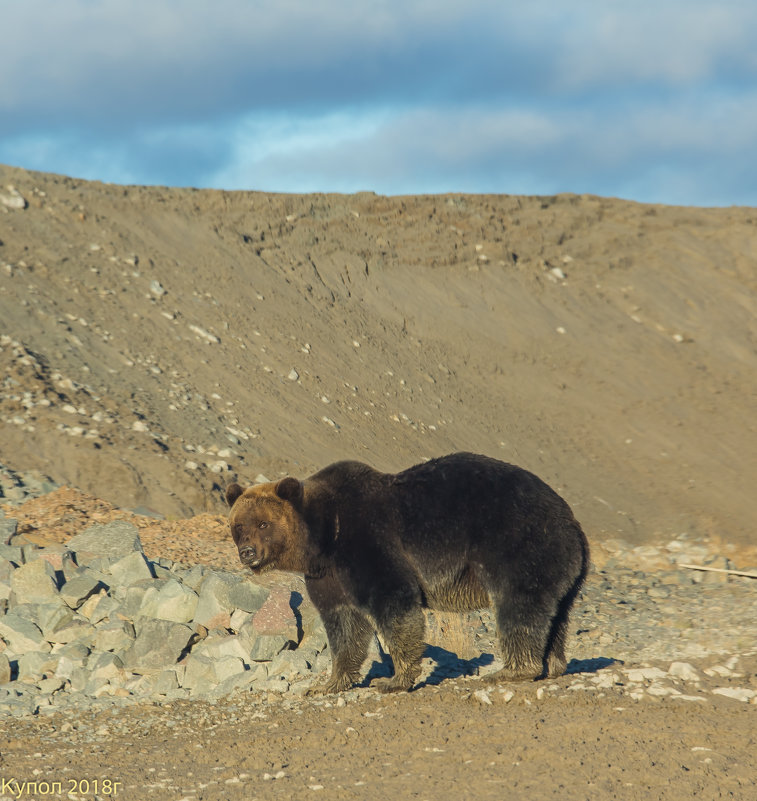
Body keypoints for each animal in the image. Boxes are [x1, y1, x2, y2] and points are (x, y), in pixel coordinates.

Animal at [224, 450, 592, 692]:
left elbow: (395, 605)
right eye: (239, 526)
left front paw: (394, 679)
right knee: (555, 617)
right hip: (561, 570)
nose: (247, 553)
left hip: (519, 545)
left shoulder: (369, 543)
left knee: (519, 607)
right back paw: (551, 665)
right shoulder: (327, 577)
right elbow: (344, 625)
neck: (325, 537)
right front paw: (330, 682)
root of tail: (574, 523)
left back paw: (511, 671)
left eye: (263, 523)